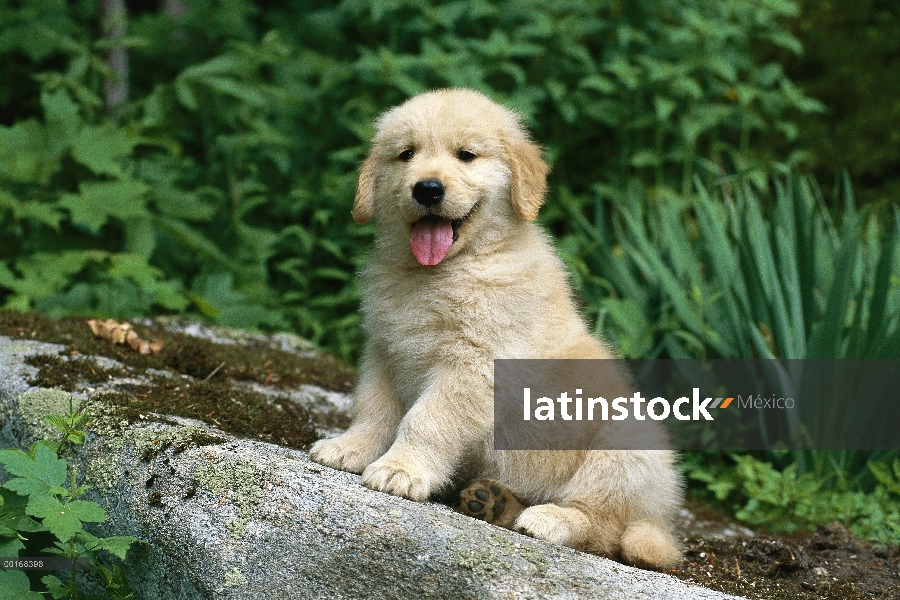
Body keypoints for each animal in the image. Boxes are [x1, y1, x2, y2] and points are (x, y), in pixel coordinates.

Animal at [310, 88, 684, 568]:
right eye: (406, 154)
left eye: (466, 156)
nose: (427, 188)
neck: (446, 270)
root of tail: (659, 519)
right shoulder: (385, 349)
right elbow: (374, 409)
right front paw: (350, 448)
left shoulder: (473, 365)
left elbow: (424, 420)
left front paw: (400, 469)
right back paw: (494, 502)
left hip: (625, 447)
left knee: (603, 528)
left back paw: (552, 519)